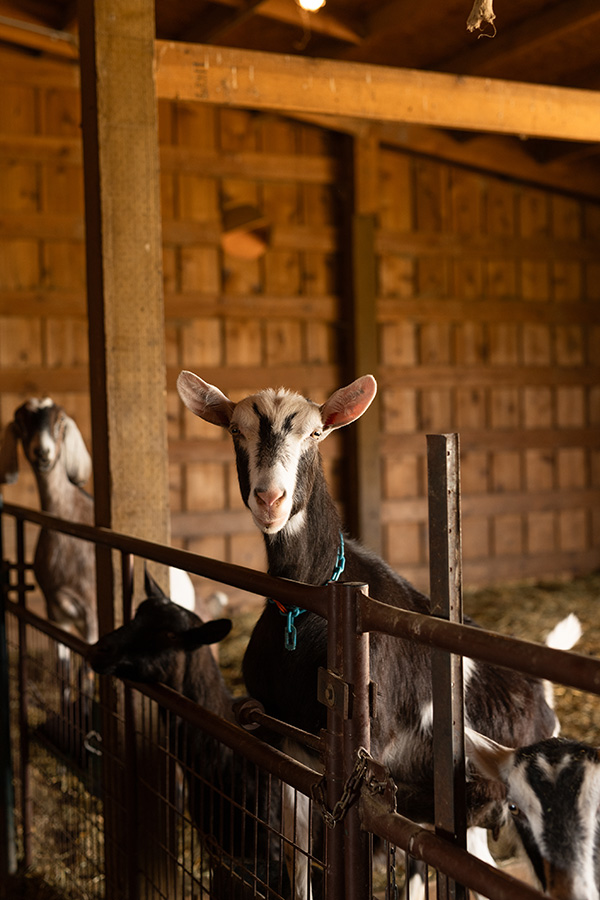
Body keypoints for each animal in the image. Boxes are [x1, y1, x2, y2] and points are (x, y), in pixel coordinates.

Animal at [177, 370, 581, 897]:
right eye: (235, 431)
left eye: (315, 433)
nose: (270, 499)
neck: (304, 606)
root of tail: (541, 692)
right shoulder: (287, 740)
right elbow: (299, 848)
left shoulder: (372, 758)